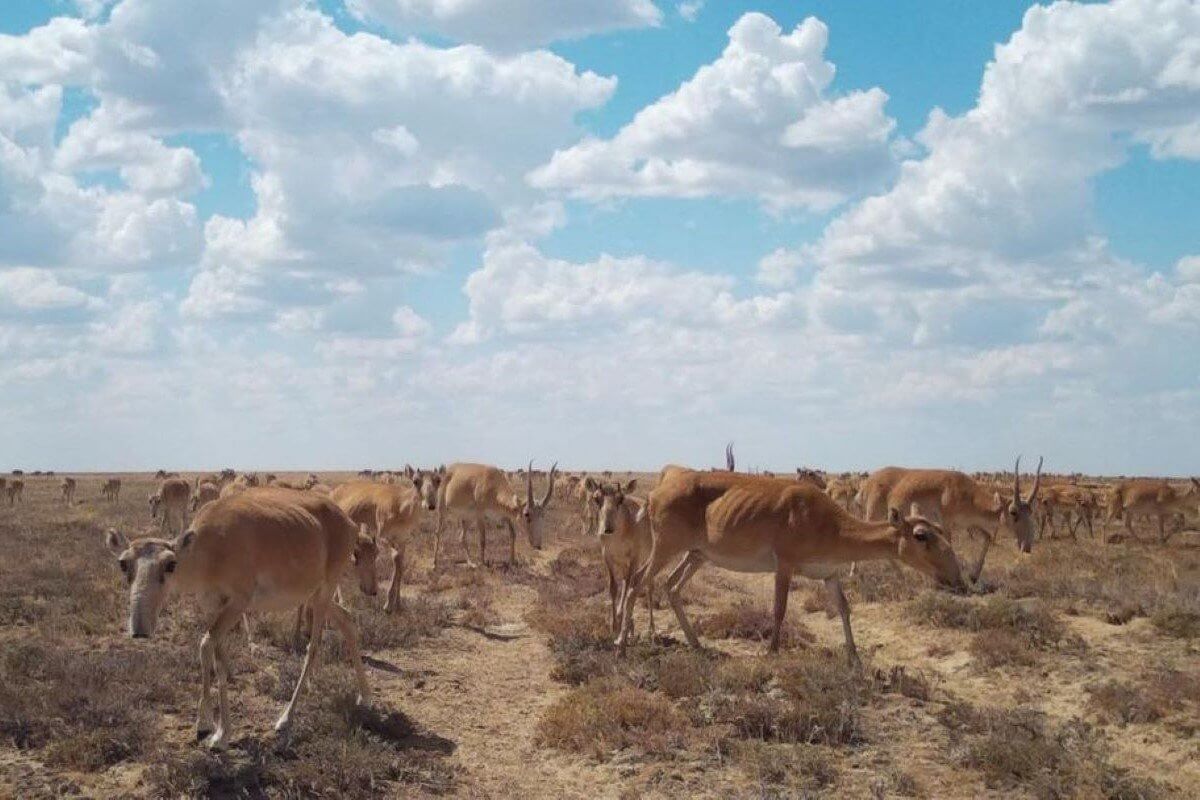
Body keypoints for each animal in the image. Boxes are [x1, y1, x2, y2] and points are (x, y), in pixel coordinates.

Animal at [103, 489, 374, 753]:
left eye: (170, 564)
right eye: (123, 563)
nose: (139, 630)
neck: (208, 549)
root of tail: (349, 523)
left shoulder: (238, 603)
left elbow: (205, 645)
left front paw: (212, 730)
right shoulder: (213, 605)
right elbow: (219, 658)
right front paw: (215, 729)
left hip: (324, 592)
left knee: (314, 646)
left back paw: (286, 718)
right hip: (316, 595)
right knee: (348, 620)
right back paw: (365, 696)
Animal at [328, 470, 441, 614]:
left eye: (438, 480)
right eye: (415, 480)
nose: (430, 504)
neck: (400, 505)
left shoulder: (402, 540)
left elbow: (400, 566)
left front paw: (397, 604)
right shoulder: (383, 539)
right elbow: (396, 560)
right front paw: (388, 605)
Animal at [590, 482, 657, 638]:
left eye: (620, 498)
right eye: (596, 498)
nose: (607, 529)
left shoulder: (634, 558)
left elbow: (627, 589)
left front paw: (620, 622)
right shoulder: (608, 558)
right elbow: (614, 587)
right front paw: (614, 626)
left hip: (647, 559)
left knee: (648, 586)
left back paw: (650, 629)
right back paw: (631, 626)